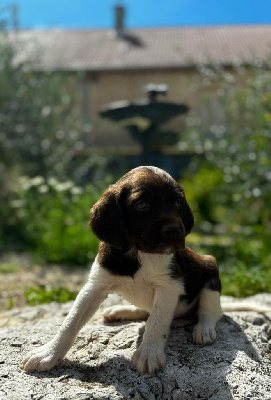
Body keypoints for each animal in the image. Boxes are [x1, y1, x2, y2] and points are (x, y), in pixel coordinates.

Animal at [22, 166, 223, 376]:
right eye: (142, 204)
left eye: (177, 203)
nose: (175, 230)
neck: (137, 254)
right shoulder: (95, 286)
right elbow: (70, 322)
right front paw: (49, 353)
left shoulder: (170, 285)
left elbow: (156, 322)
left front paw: (149, 353)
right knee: (145, 311)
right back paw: (121, 310)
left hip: (210, 268)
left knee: (210, 311)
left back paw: (203, 329)